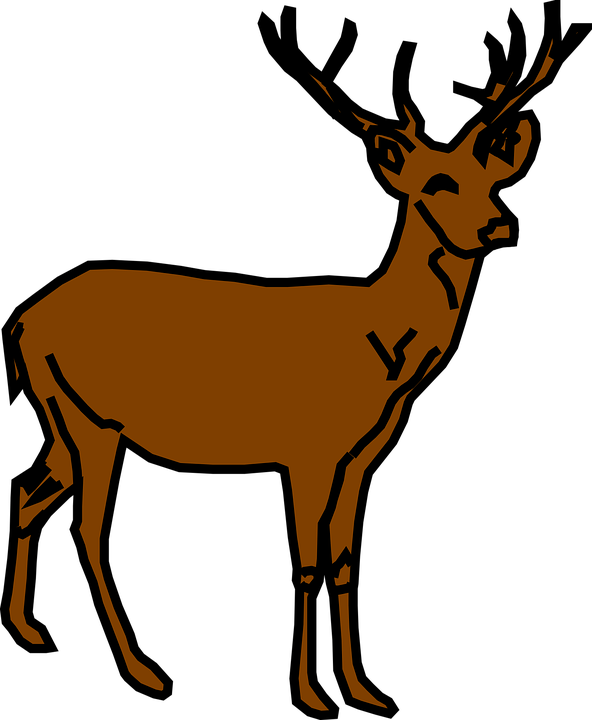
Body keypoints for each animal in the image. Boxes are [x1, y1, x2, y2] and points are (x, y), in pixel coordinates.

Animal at [10, 46, 554, 711]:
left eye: (492, 180)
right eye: (435, 183)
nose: (495, 225)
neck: (380, 350)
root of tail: (24, 321)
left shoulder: (359, 458)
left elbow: (343, 562)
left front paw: (361, 687)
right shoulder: (306, 450)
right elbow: (305, 563)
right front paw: (310, 692)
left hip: (60, 418)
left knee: (30, 491)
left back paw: (27, 626)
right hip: (93, 420)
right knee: (90, 526)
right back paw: (143, 667)